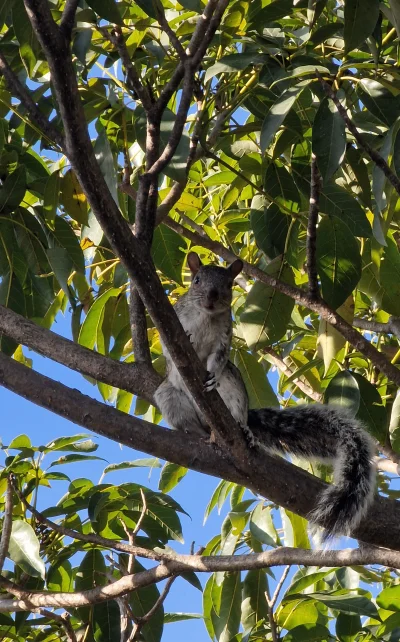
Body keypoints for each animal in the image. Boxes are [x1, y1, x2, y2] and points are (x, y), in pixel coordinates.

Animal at [155, 250, 376, 536]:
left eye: (228, 284)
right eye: (196, 280)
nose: (212, 298)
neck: (206, 316)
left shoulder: (224, 338)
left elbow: (218, 357)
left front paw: (212, 375)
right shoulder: (173, 321)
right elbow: (168, 346)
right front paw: (186, 343)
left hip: (235, 388)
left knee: (237, 414)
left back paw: (243, 430)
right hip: (169, 397)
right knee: (189, 422)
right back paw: (197, 432)